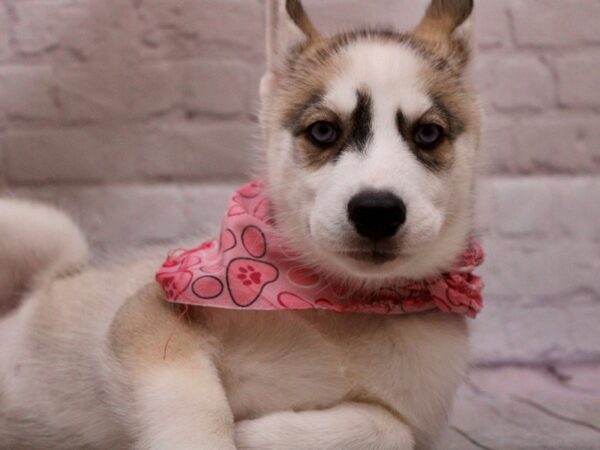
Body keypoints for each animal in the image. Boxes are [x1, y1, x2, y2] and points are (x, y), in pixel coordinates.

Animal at [0, 1, 480, 448]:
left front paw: (255, 434)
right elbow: (196, 411)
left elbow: (390, 429)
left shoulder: (419, 420)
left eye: (429, 134)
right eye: (323, 131)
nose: (377, 209)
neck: (342, 305)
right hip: (50, 229)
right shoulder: (149, 314)